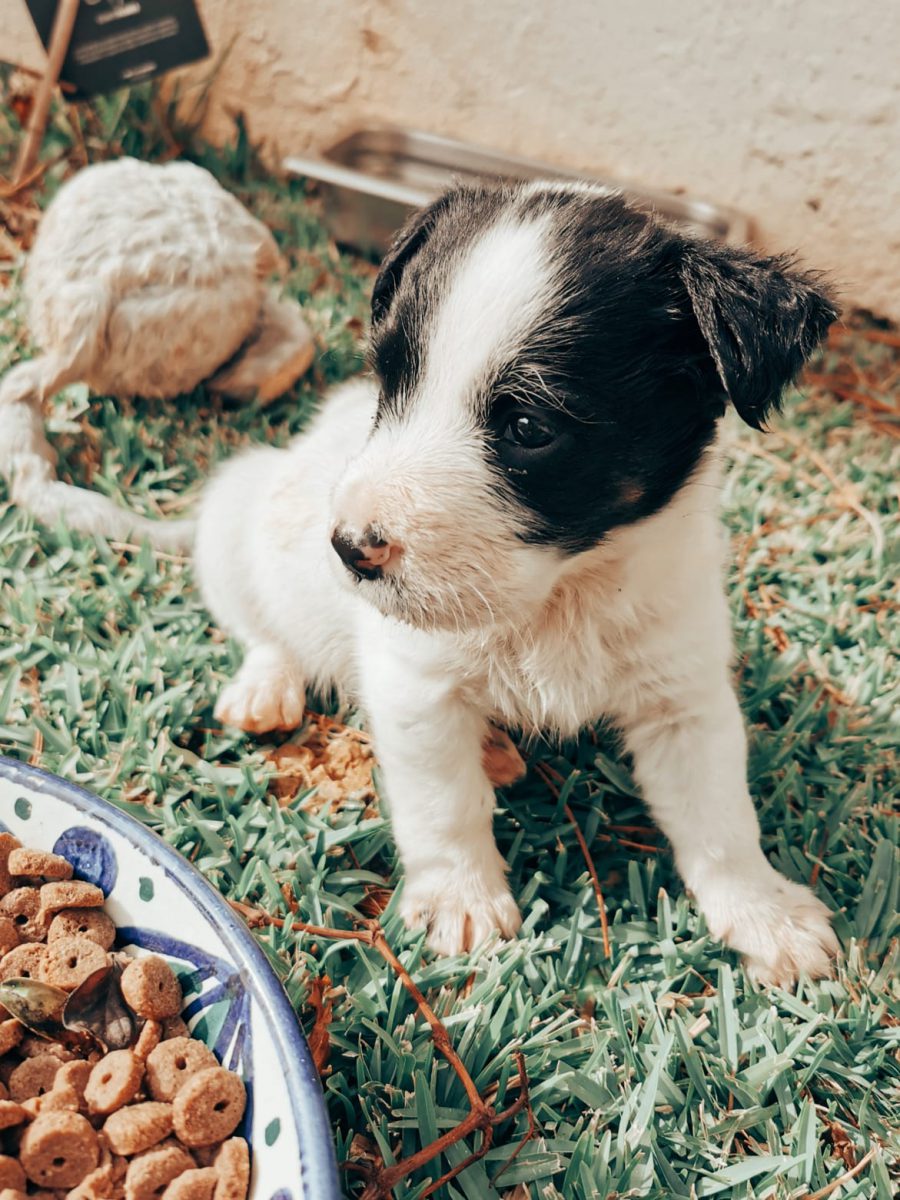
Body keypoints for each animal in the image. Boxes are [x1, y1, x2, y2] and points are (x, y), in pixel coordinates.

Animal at [195, 181, 840, 986]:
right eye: (389, 381)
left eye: (529, 428)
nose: (348, 548)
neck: (559, 596)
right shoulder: (417, 687)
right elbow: (444, 804)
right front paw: (460, 899)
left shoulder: (684, 695)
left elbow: (721, 819)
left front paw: (764, 914)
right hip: (233, 512)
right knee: (259, 625)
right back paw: (265, 687)